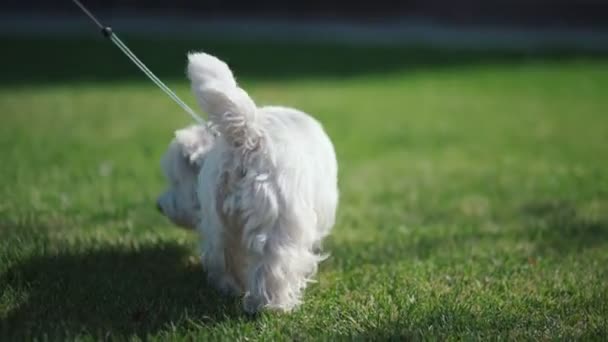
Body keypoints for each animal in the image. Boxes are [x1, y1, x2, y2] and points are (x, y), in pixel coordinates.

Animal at [157, 52, 338, 312]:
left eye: (175, 181)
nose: (159, 206)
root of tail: (248, 135)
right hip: (276, 224)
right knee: (272, 266)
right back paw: (271, 306)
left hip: (219, 224)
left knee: (223, 260)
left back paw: (231, 290)